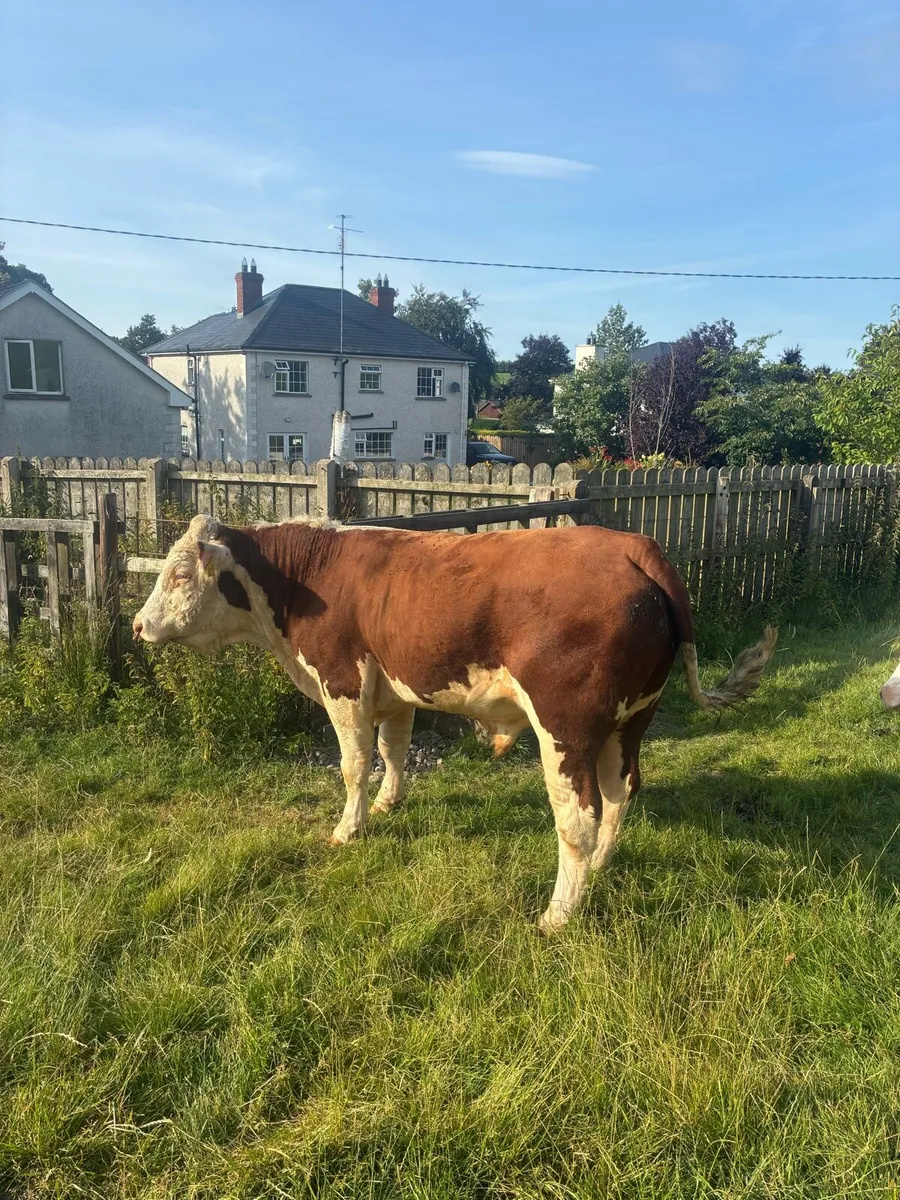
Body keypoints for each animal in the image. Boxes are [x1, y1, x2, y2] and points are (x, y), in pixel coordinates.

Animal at [133, 515, 777, 933]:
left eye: (181, 575)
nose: (138, 626)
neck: (307, 578)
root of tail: (636, 548)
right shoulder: (394, 687)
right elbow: (392, 751)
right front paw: (388, 803)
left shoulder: (344, 685)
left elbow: (353, 764)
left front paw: (347, 828)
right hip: (632, 721)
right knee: (621, 793)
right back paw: (599, 867)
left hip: (566, 728)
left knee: (579, 815)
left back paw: (558, 914)